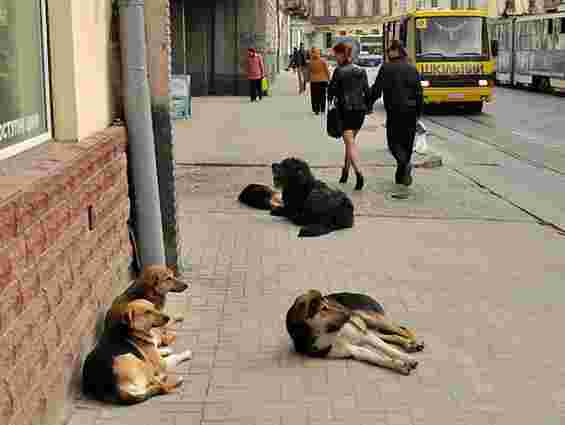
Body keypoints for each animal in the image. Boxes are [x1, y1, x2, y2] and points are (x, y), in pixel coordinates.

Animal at [286, 288, 424, 374]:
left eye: (330, 304)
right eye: (324, 308)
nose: (349, 313)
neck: (329, 332)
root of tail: (362, 294)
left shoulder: (364, 335)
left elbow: (389, 350)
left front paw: (408, 359)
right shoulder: (353, 350)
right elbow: (375, 357)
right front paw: (400, 365)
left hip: (371, 318)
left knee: (402, 329)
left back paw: (414, 343)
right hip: (368, 327)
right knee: (391, 336)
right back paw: (408, 344)